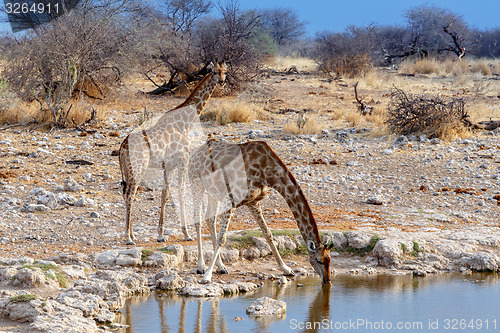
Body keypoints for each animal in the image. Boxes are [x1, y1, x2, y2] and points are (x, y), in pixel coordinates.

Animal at [118, 61, 228, 244]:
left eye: (225, 72)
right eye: (214, 72)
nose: (221, 82)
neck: (185, 122)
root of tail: (122, 147)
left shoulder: (169, 166)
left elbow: (165, 194)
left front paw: (161, 234)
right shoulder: (183, 160)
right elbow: (182, 192)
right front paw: (187, 233)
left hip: (127, 169)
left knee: (126, 194)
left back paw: (132, 234)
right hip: (138, 167)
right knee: (129, 195)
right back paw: (128, 237)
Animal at [189, 139, 334, 284]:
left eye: (329, 260)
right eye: (318, 260)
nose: (327, 280)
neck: (267, 172)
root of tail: (196, 153)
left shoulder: (253, 201)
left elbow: (268, 234)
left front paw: (286, 269)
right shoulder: (232, 200)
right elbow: (222, 238)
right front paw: (207, 276)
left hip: (214, 192)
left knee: (210, 219)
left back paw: (221, 267)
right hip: (197, 183)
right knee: (198, 220)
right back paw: (201, 267)